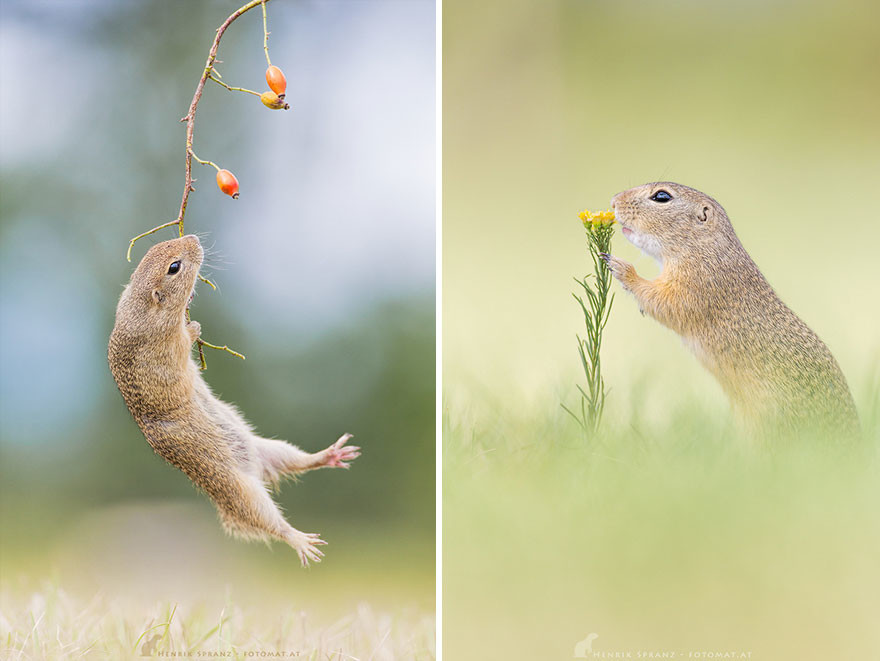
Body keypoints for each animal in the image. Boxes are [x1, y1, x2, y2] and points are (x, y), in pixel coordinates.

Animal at [108, 235, 360, 564]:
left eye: (155, 247)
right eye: (174, 267)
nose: (193, 238)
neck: (138, 308)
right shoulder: (165, 344)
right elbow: (183, 342)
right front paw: (193, 327)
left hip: (270, 449)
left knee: (297, 461)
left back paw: (329, 454)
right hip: (237, 489)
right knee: (267, 521)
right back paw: (299, 540)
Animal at [600, 180, 860, 438]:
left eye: (662, 197)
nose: (613, 201)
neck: (703, 247)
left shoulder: (699, 283)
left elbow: (668, 303)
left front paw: (622, 268)